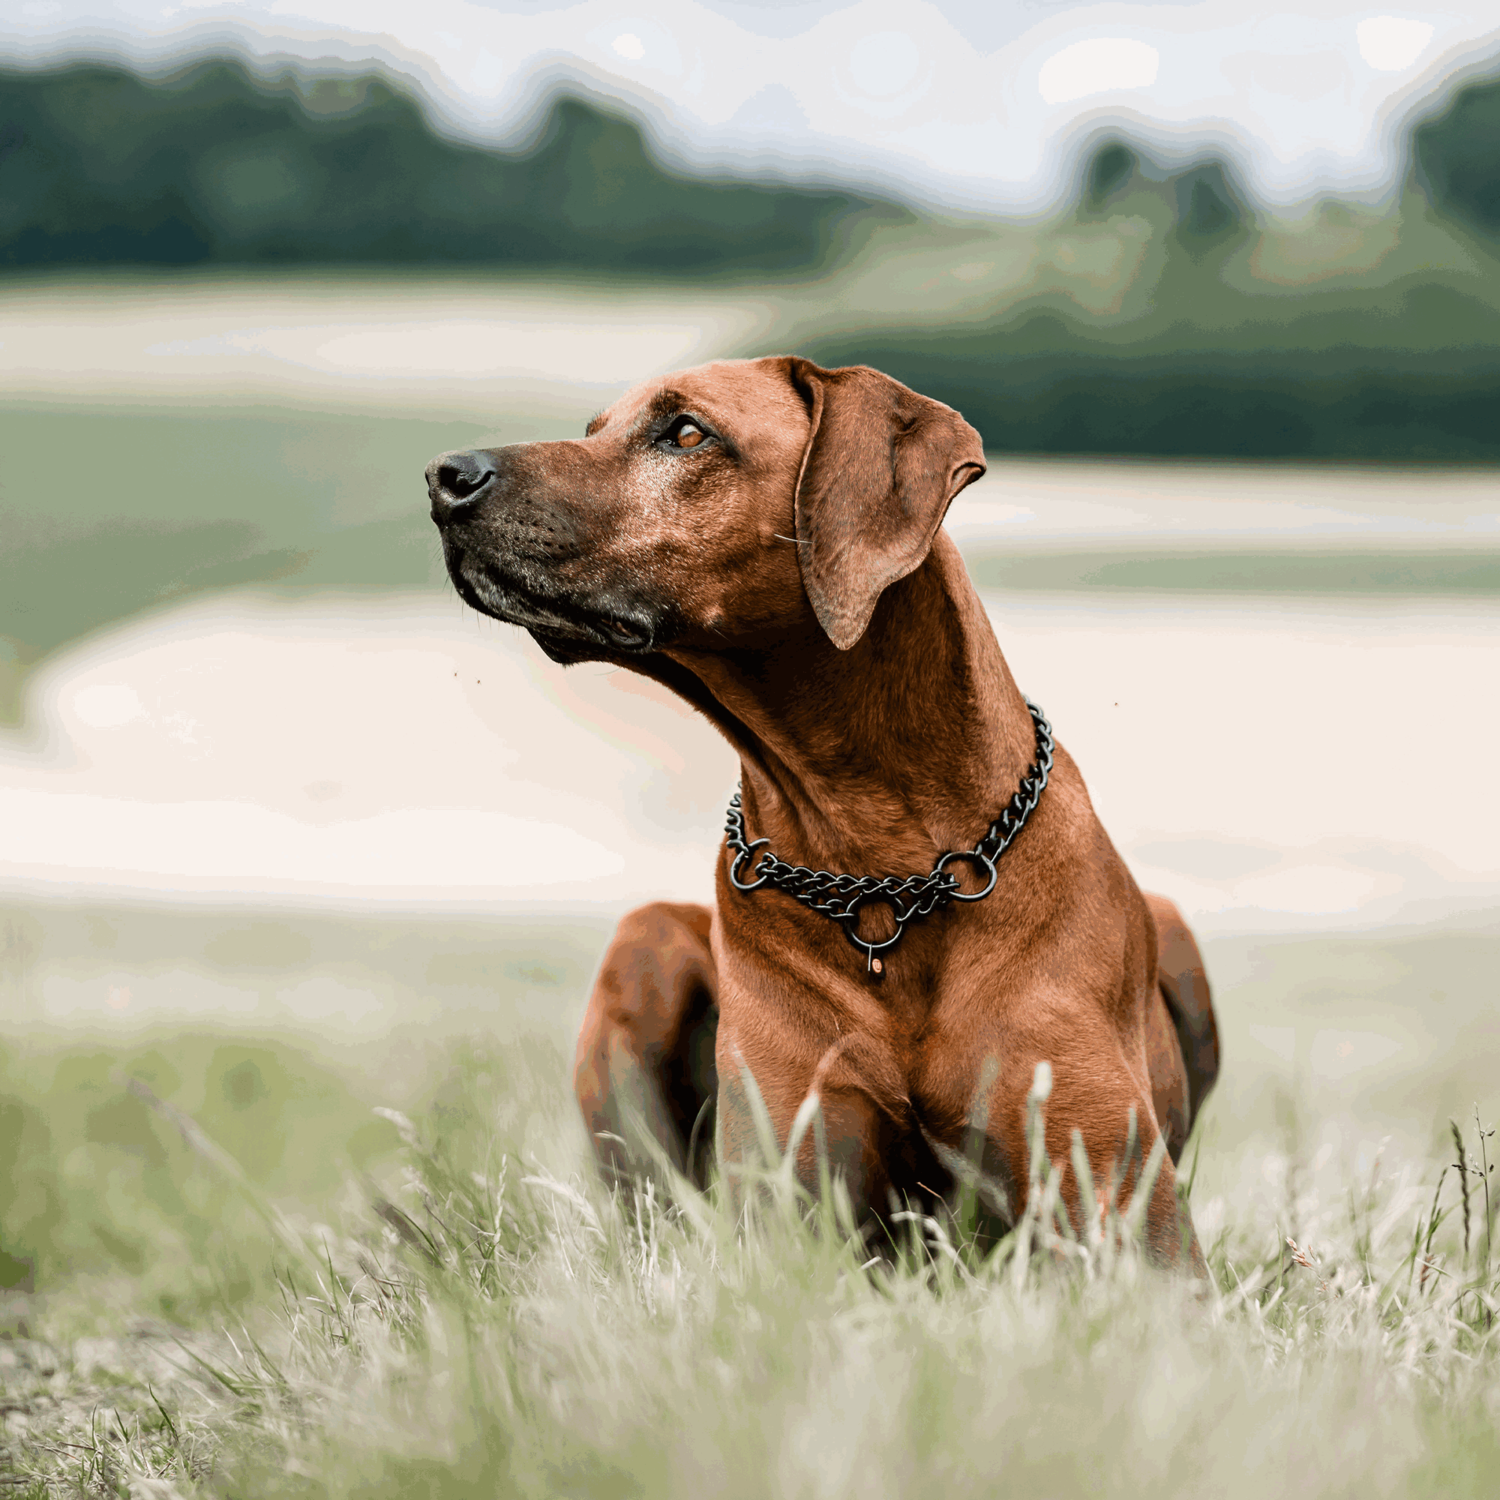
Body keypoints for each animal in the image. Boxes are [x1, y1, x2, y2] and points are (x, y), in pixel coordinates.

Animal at [426, 357, 1218, 1272]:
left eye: (686, 432)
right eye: (595, 430)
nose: (444, 476)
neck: (879, 868)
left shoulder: (1133, 1233)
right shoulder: (790, 1211)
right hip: (645, 940)